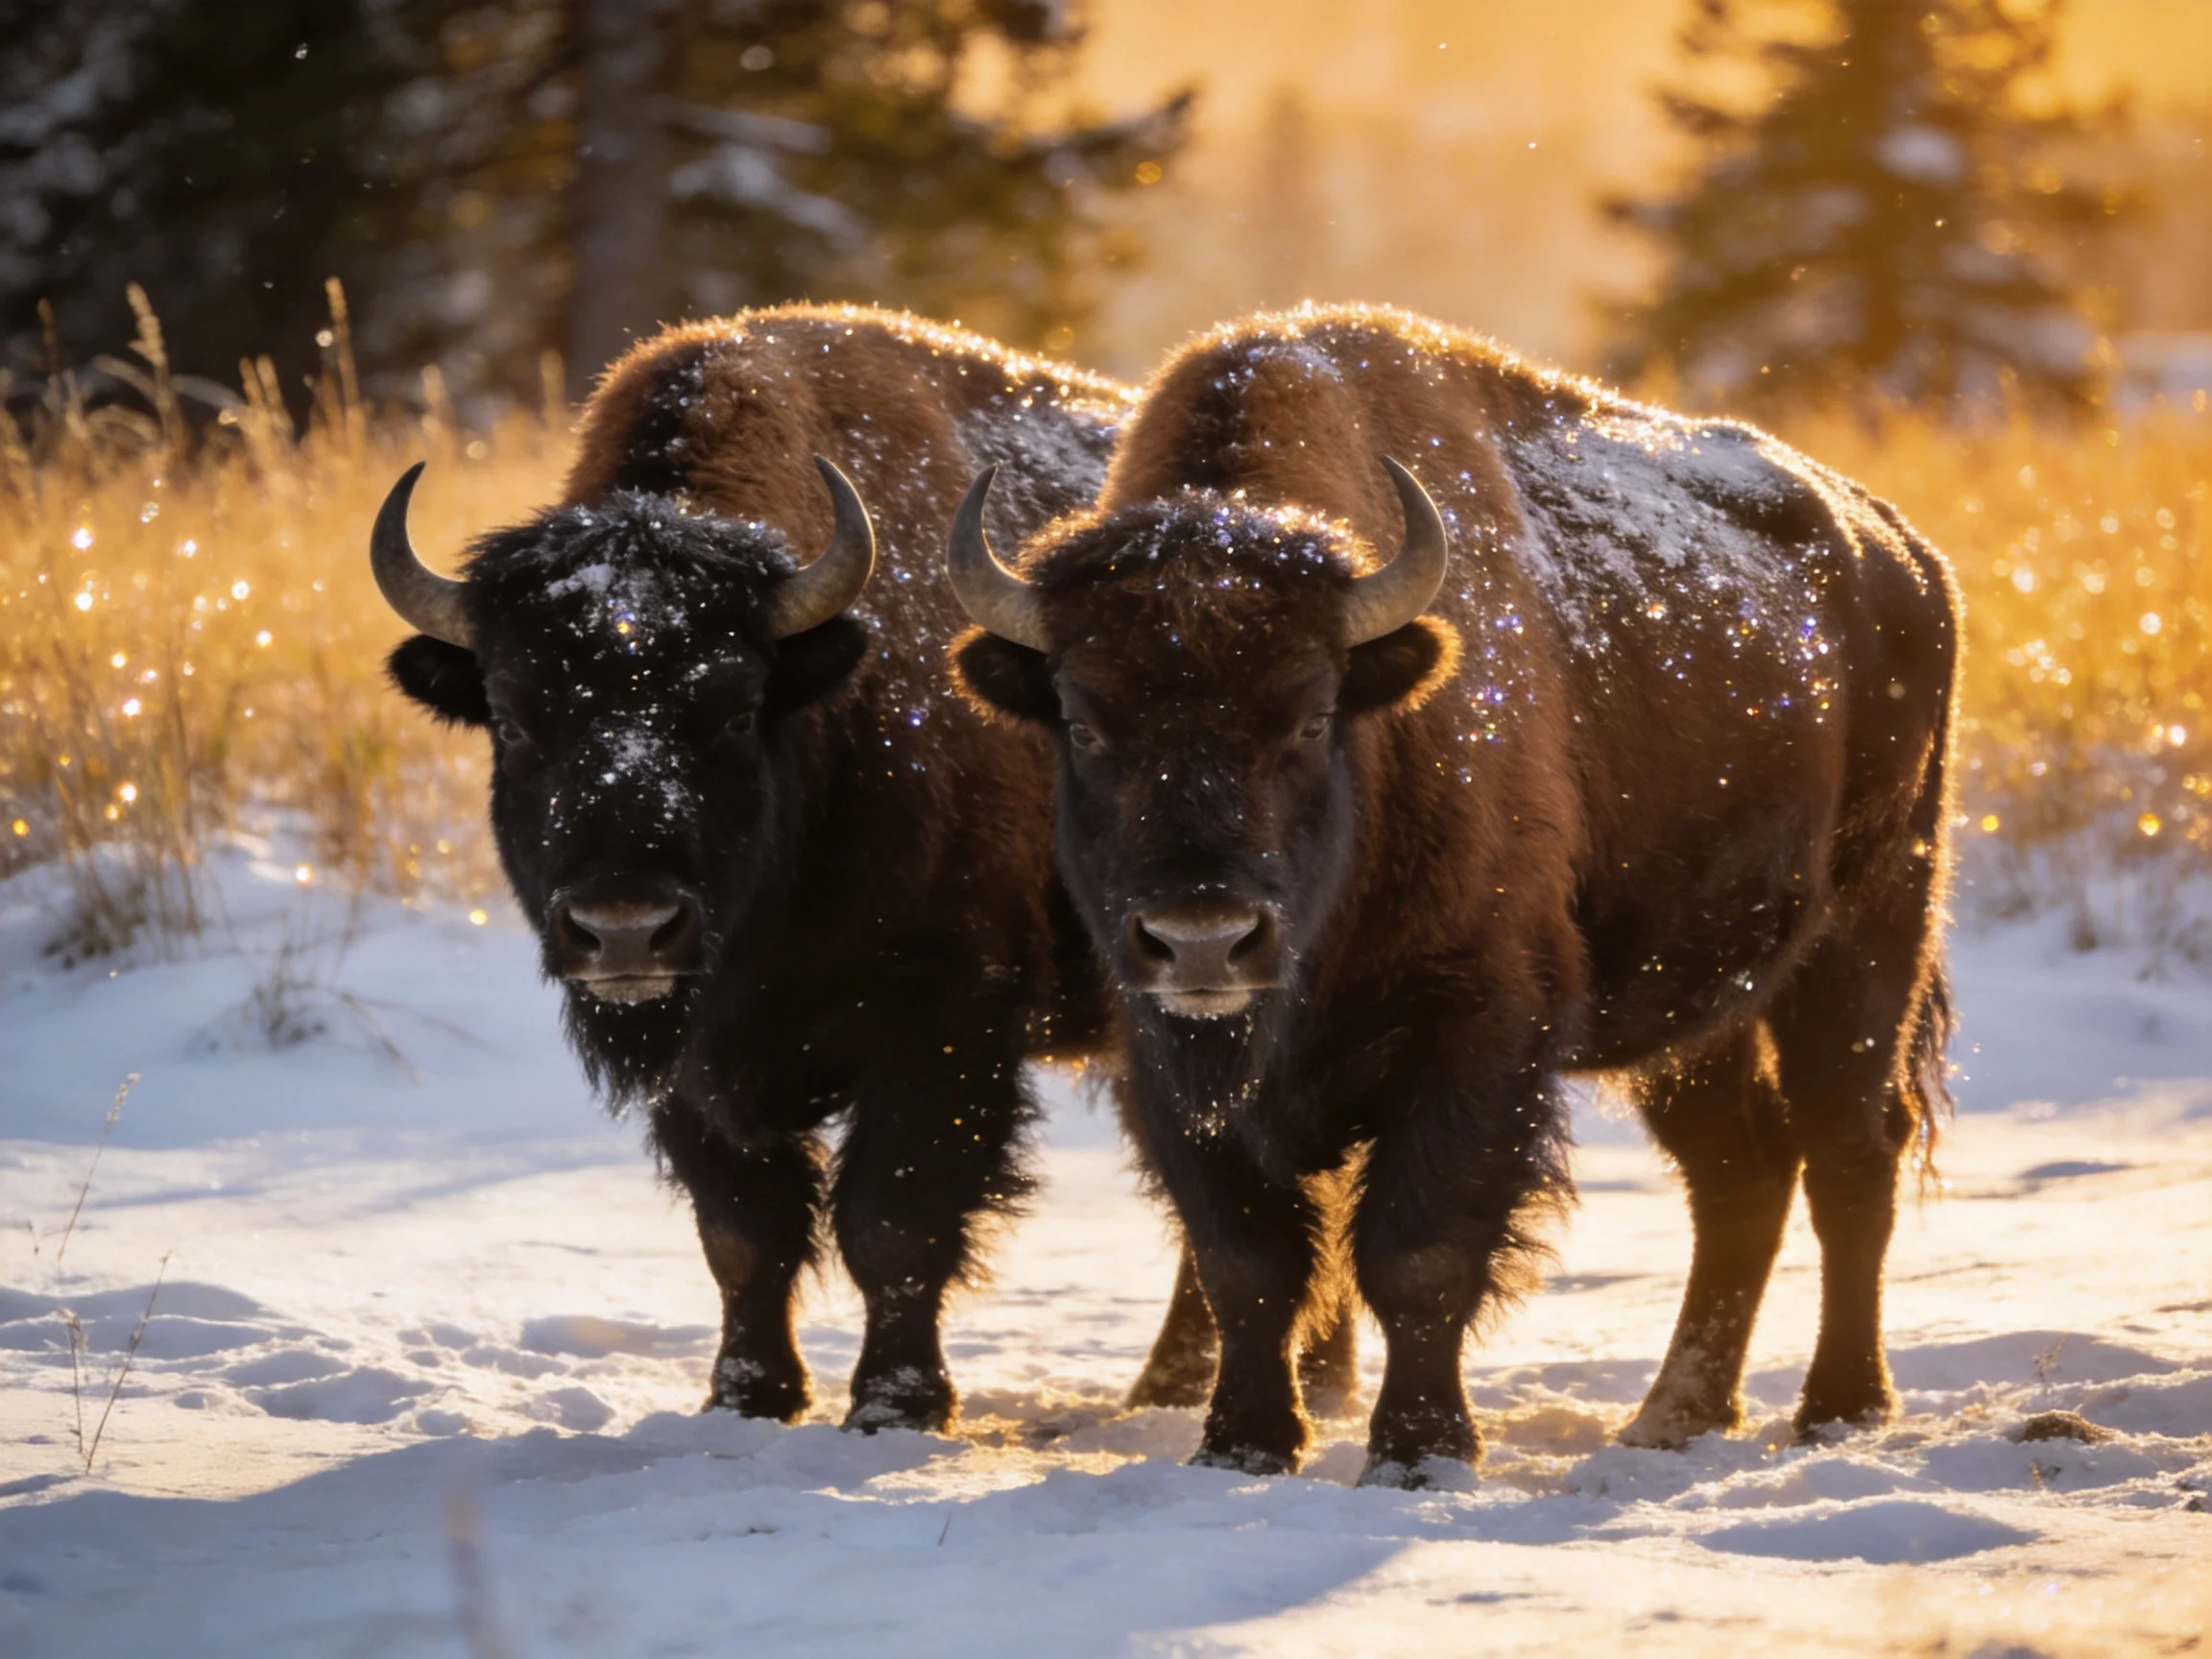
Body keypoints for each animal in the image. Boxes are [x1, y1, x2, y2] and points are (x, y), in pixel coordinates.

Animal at [376, 305, 1189, 1431]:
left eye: (731, 705)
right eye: (514, 715)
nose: (624, 927)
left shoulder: (946, 1022)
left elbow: (894, 1220)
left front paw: (896, 1406)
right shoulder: (699, 1062)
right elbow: (744, 1233)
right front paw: (750, 1395)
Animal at [946, 305, 1959, 1484]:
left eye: (1309, 715)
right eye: (1083, 721)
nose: (1203, 940)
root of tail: (1902, 552)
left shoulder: (1480, 1027)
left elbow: (1418, 1252)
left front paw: (1421, 1449)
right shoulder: (1166, 1058)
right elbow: (1246, 1261)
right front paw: (1242, 1446)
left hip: (1865, 935)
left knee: (1851, 1153)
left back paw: (1839, 1406)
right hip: (1695, 1011)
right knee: (1740, 1173)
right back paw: (1673, 1416)